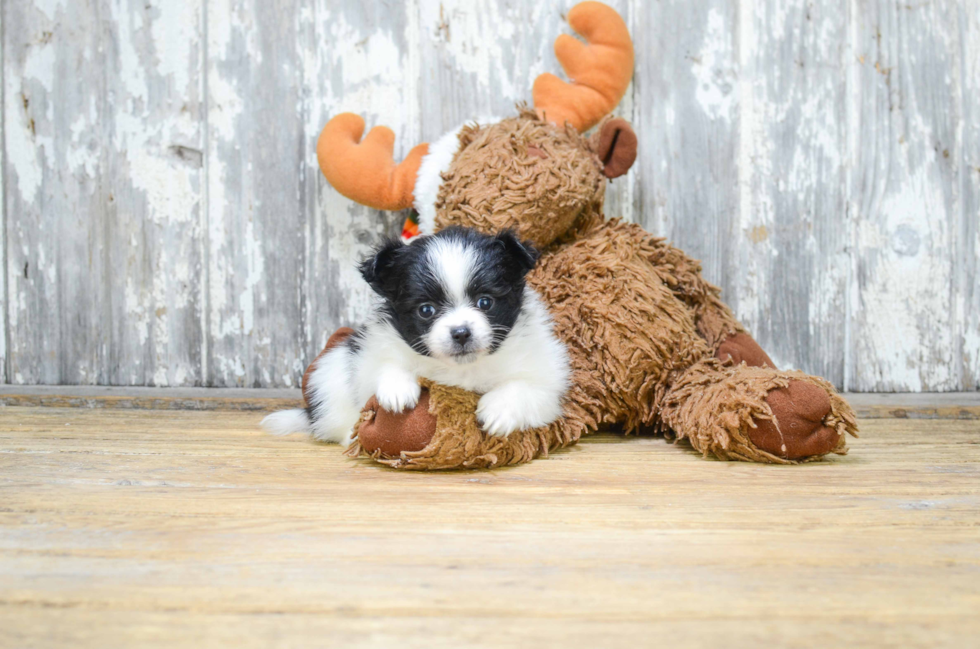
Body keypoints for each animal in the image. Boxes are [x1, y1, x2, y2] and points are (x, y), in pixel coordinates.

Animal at [264, 225, 572, 442]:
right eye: (426, 310)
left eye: (485, 302)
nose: (461, 333)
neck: (461, 369)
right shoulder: (369, 351)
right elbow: (383, 365)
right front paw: (398, 389)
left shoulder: (546, 379)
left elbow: (526, 387)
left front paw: (499, 411)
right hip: (330, 374)